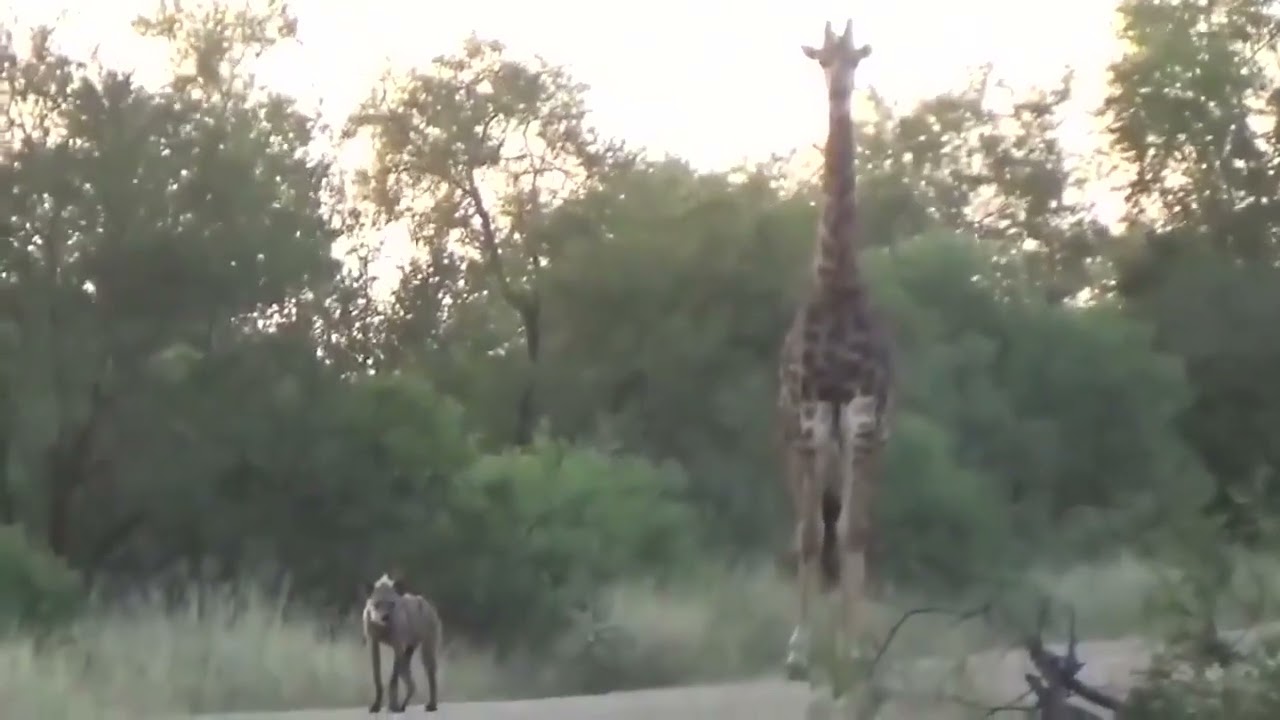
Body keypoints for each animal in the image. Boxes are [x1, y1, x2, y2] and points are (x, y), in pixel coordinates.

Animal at [361, 573, 443, 713]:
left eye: (391, 604)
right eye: (377, 604)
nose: (385, 617)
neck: (383, 628)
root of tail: (426, 603)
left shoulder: (397, 645)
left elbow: (393, 678)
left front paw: (393, 705)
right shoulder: (374, 644)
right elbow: (377, 677)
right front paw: (376, 705)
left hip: (426, 648)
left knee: (430, 673)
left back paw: (431, 705)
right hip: (410, 647)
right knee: (407, 670)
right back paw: (405, 703)